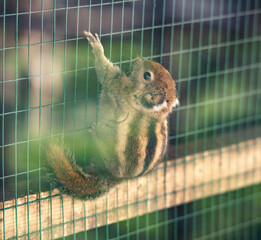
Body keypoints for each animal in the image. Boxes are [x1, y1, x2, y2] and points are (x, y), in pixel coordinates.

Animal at [44, 31, 179, 200]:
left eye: (147, 76)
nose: (139, 58)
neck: (152, 112)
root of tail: (117, 178)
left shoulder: (119, 87)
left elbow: (106, 74)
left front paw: (97, 47)